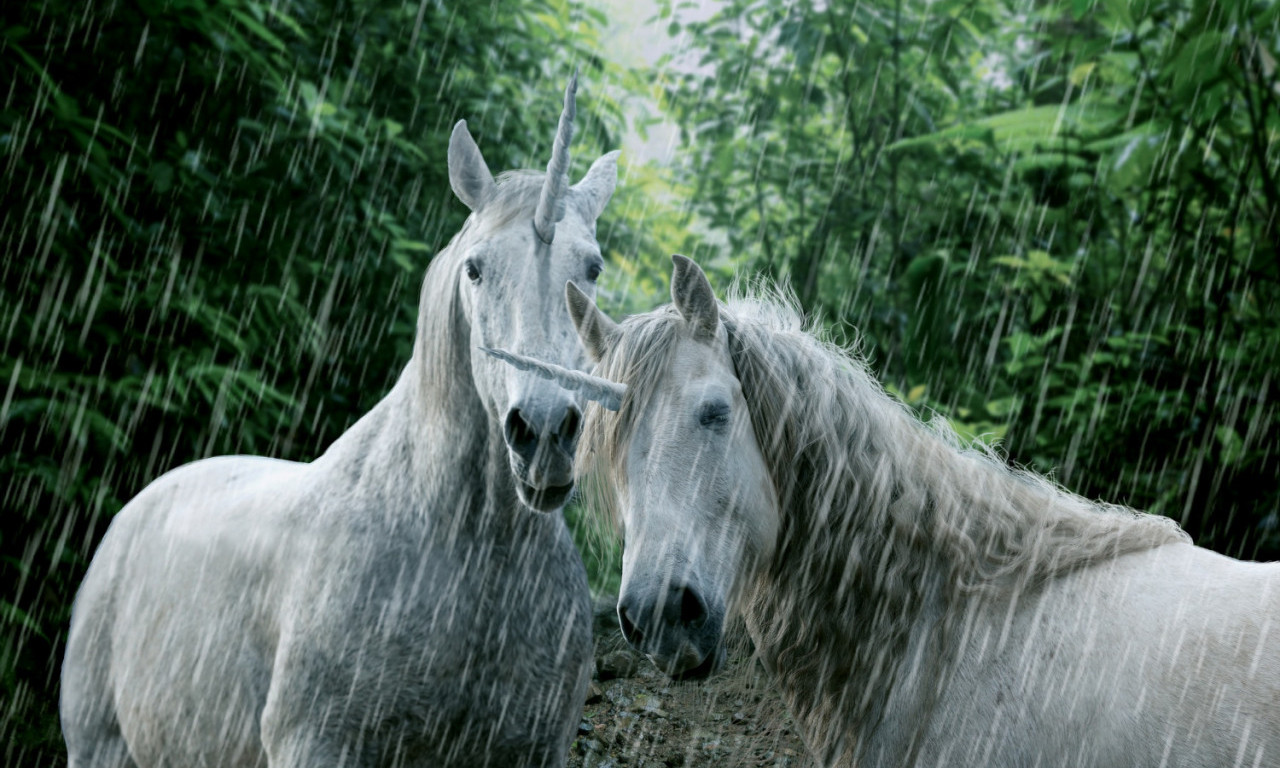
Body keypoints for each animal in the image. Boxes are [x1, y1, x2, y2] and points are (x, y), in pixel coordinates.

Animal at [62, 76, 622, 768]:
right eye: (475, 269)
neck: (468, 552)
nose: (544, 432)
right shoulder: (318, 742)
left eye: (593, 267)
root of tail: (133, 510)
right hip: (97, 747)